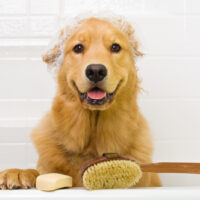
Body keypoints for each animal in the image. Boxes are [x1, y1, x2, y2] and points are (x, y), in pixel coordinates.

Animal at [0, 15, 161, 189]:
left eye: (115, 47)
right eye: (78, 48)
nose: (96, 71)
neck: (92, 141)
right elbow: (40, 173)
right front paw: (18, 173)